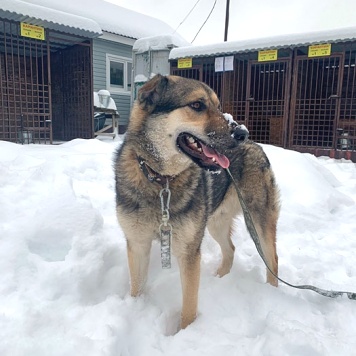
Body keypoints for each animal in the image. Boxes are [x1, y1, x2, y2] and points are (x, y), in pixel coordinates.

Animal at [115, 73, 280, 330]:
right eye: (197, 105)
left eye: (218, 106)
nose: (243, 133)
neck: (161, 181)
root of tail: (256, 145)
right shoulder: (137, 244)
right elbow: (137, 289)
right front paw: (134, 311)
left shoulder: (189, 252)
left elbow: (189, 307)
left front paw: (185, 332)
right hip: (214, 223)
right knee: (230, 249)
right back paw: (221, 278)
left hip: (258, 219)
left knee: (272, 258)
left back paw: (271, 294)